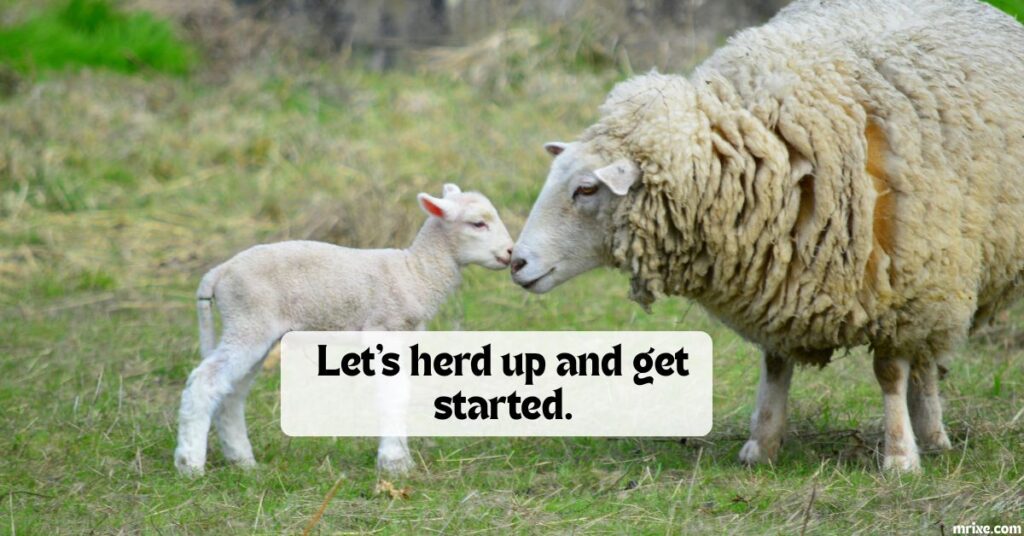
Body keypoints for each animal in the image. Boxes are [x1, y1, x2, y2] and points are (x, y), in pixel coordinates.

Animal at [175, 184, 514, 477]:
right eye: (478, 224)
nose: (511, 253)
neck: (416, 273)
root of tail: (220, 272)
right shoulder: (384, 327)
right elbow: (392, 395)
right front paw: (394, 463)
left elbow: (401, 394)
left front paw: (401, 459)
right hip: (249, 320)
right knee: (205, 381)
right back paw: (189, 465)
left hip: (252, 326)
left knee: (231, 392)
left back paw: (243, 462)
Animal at [510, 0, 1024, 472]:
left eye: (586, 188)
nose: (517, 262)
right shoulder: (779, 279)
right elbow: (775, 367)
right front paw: (762, 445)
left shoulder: (899, 286)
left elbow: (889, 373)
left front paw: (899, 457)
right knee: (927, 358)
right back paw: (933, 436)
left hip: (941, 269)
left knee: (922, 361)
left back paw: (930, 436)